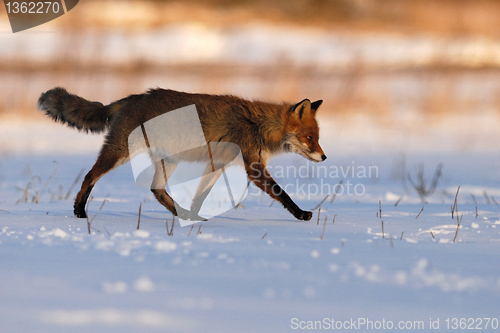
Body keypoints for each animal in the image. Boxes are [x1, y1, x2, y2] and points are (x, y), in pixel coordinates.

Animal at [40, 87, 328, 220]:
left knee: (156, 190)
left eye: (317, 138)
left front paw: (193, 216)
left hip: (168, 161)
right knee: (89, 176)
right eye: (309, 138)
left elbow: (200, 195)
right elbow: (282, 193)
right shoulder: (253, 167)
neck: (259, 125)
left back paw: (180, 214)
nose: (324, 158)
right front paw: (301, 214)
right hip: (119, 153)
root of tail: (132, 97)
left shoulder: (217, 164)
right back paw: (79, 210)